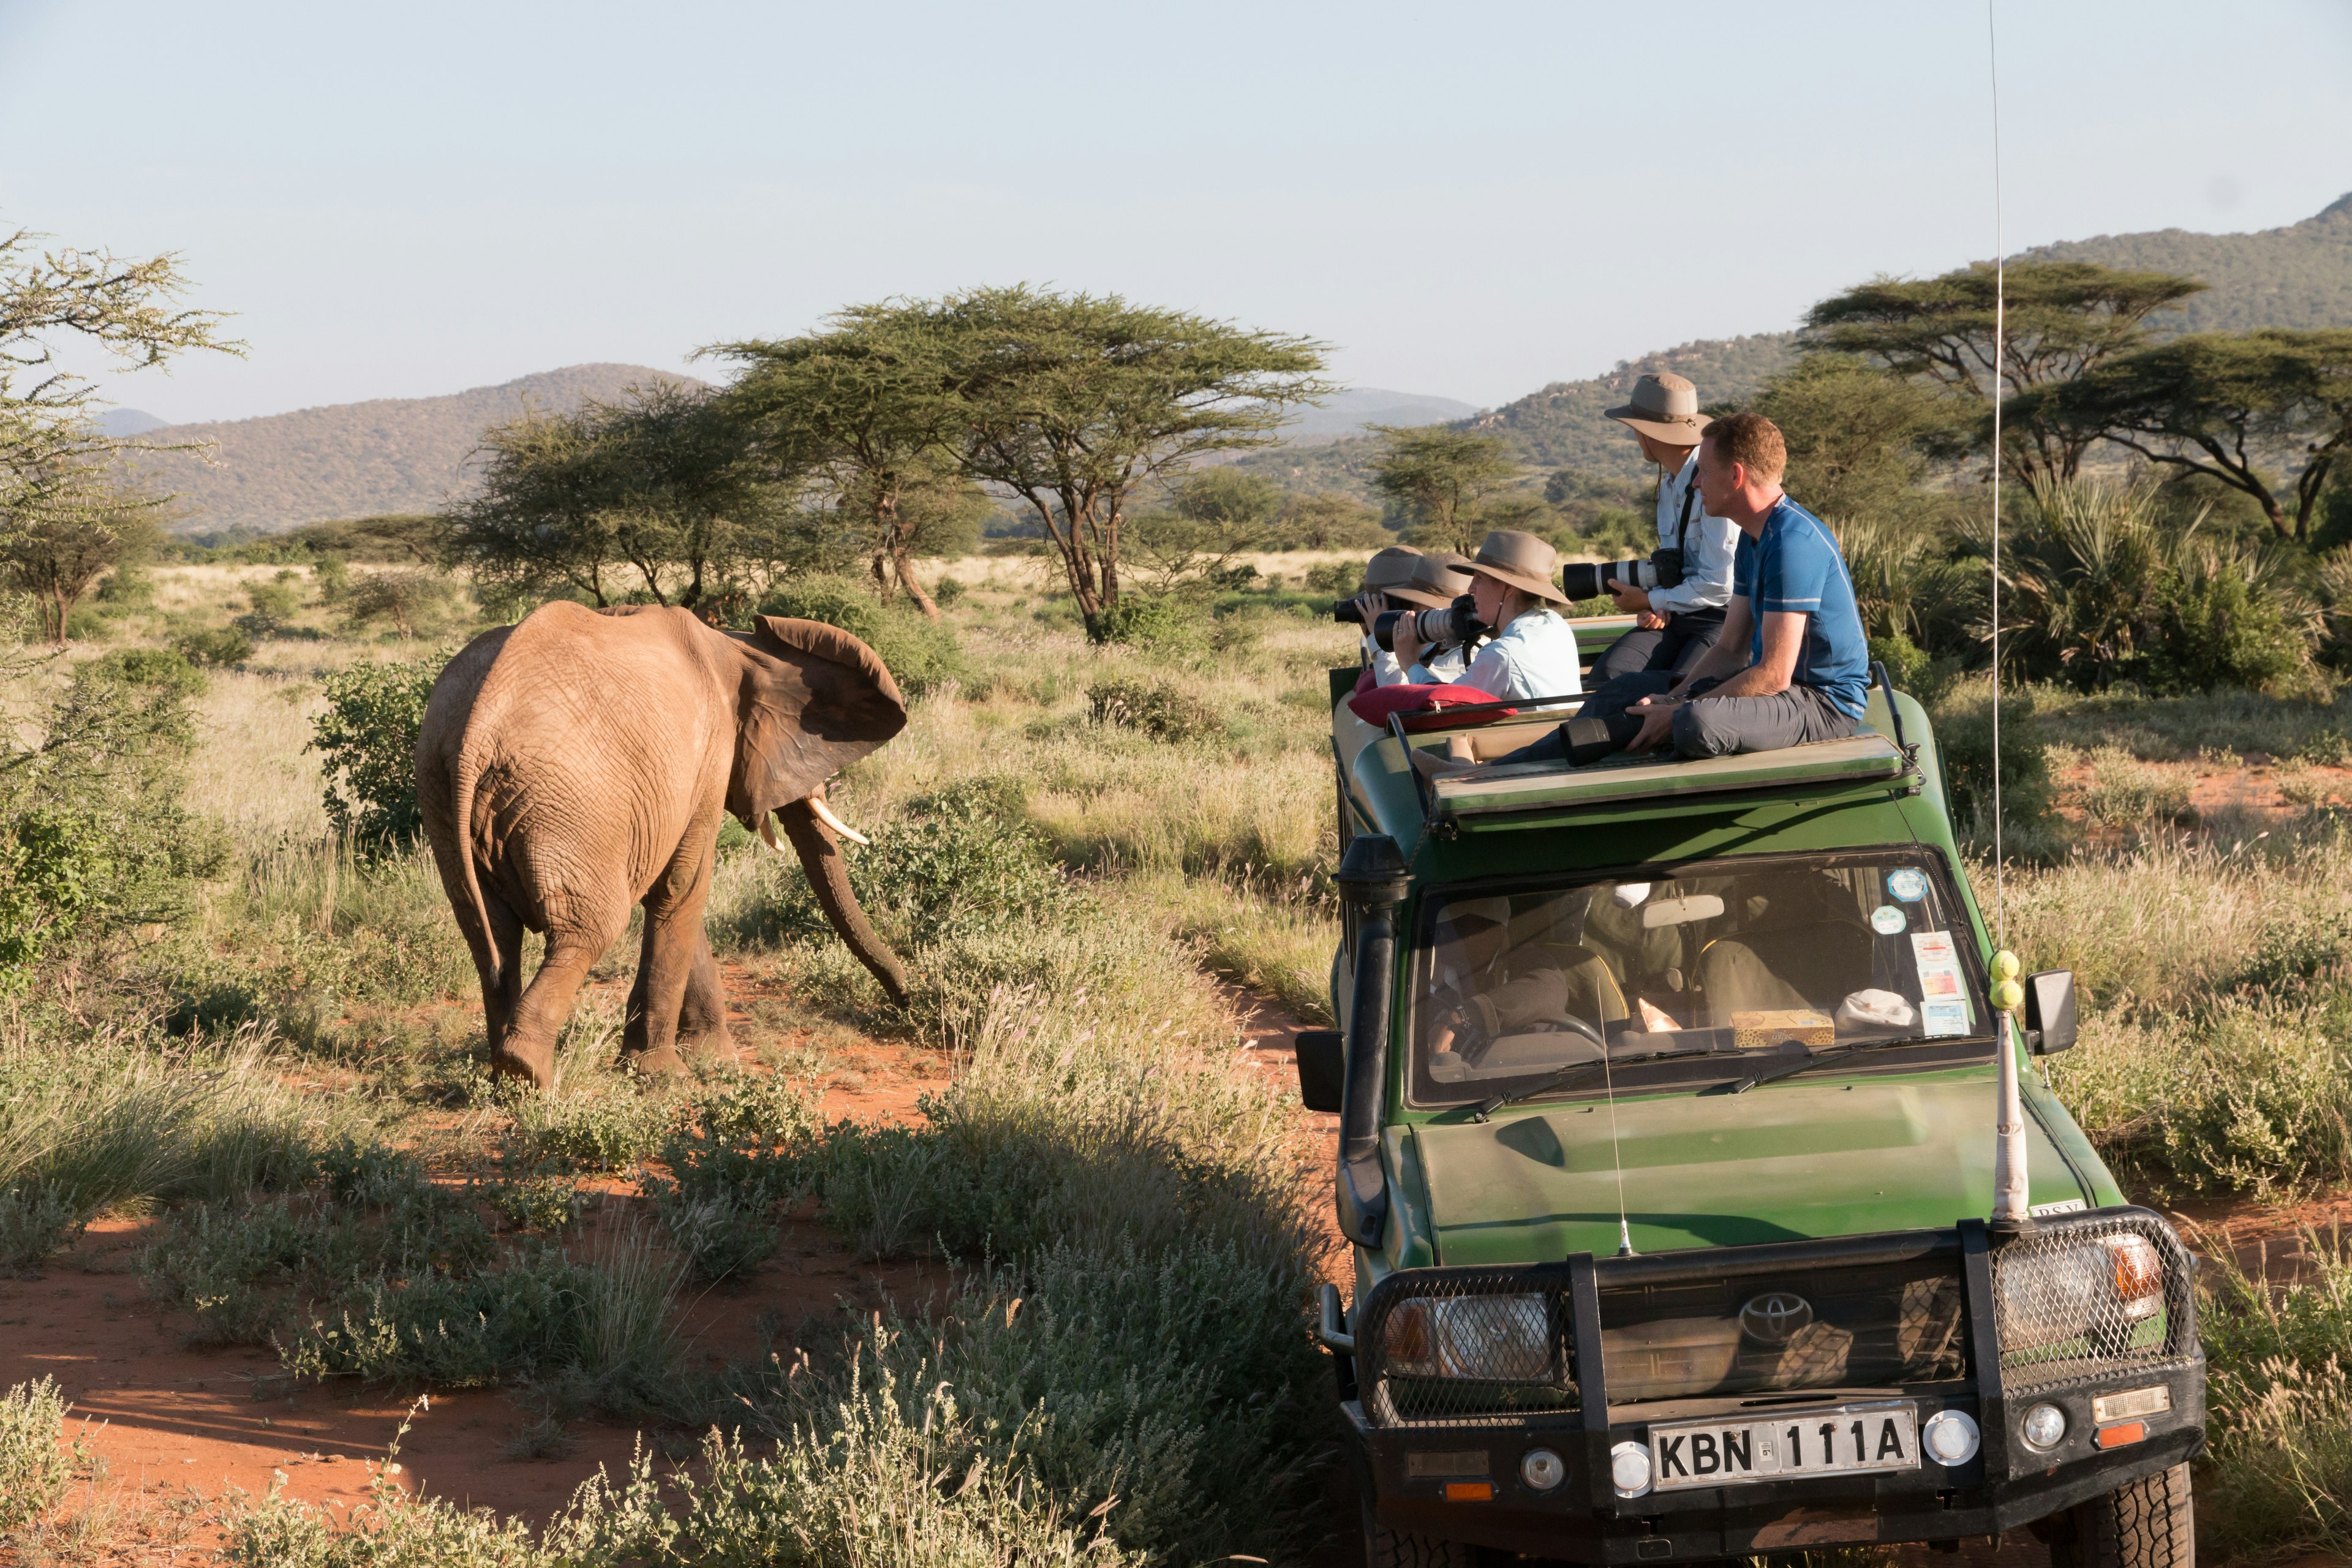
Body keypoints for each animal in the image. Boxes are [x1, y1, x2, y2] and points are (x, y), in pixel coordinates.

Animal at [416, 601, 908, 1090]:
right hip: (570, 801)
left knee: (490, 936)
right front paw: (664, 1073)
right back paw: (528, 1074)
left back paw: (500, 1079)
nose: (906, 1000)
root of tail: (476, 735)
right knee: (590, 928)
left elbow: (669, 894)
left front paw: (710, 1059)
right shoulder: (710, 755)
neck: (736, 644)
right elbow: (683, 886)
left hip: (442, 794)